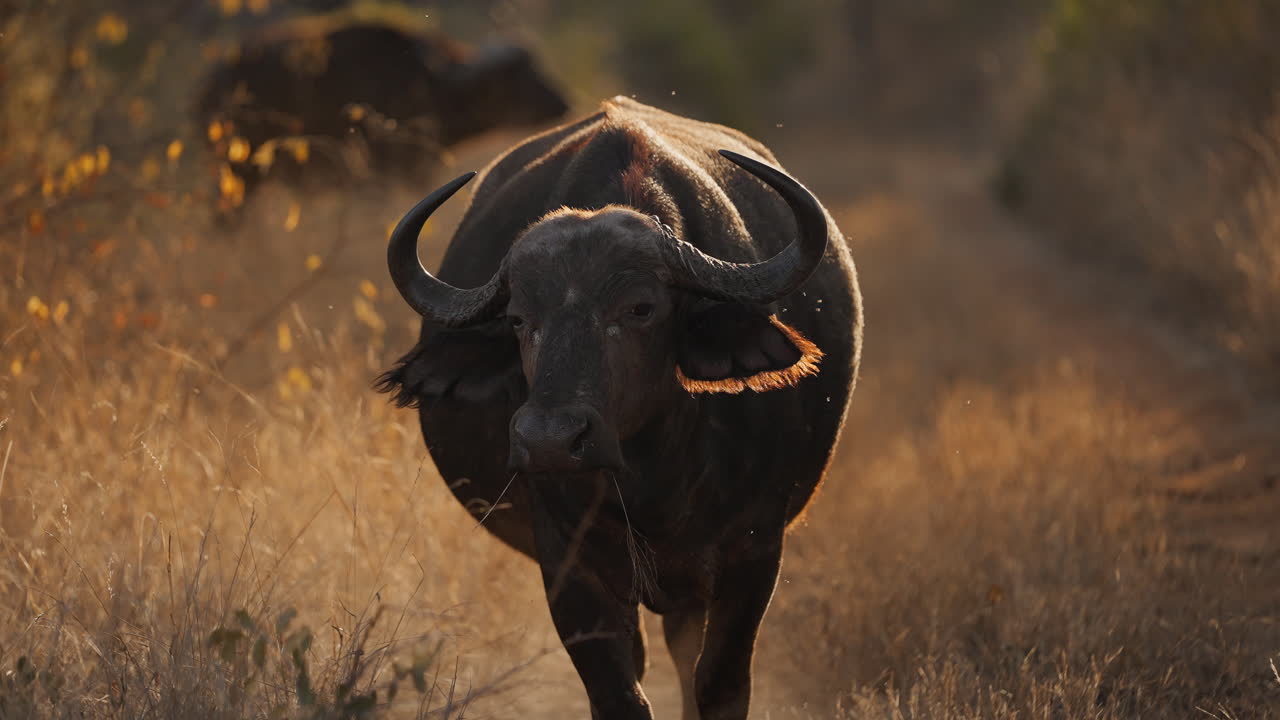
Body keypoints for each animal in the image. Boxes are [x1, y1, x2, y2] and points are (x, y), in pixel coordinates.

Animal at [195, 15, 568, 218]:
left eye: (536, 66)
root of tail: (211, 83)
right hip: (237, 175)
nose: (562, 101)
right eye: (514, 77)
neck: (430, 81)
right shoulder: (383, 171)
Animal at [379, 97, 862, 719]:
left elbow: (719, 683)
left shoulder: (755, 550)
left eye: (640, 308)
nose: (549, 441)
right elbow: (619, 692)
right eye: (518, 319)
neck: (653, 476)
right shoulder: (567, 563)